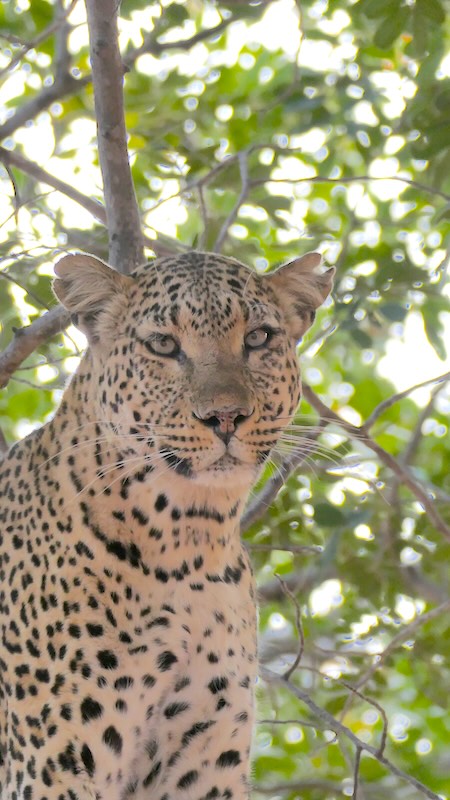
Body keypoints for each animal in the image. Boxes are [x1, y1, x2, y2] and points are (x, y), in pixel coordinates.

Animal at [0, 249, 334, 800]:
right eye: (163, 344)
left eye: (258, 337)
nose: (226, 417)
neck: (189, 541)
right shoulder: (48, 763)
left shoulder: (203, 762)